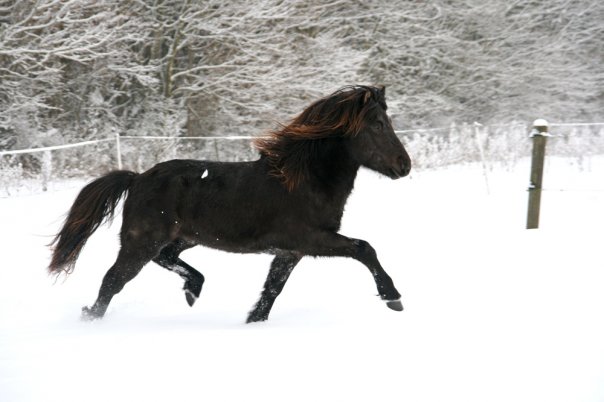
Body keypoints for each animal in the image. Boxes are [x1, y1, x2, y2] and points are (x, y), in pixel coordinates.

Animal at [49, 85, 412, 324]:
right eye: (378, 124)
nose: (405, 165)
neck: (305, 181)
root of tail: (137, 178)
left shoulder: (290, 252)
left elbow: (271, 291)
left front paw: (253, 322)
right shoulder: (311, 239)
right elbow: (364, 248)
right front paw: (393, 297)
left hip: (183, 238)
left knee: (165, 259)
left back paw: (193, 289)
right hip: (141, 242)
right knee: (113, 281)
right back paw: (92, 319)